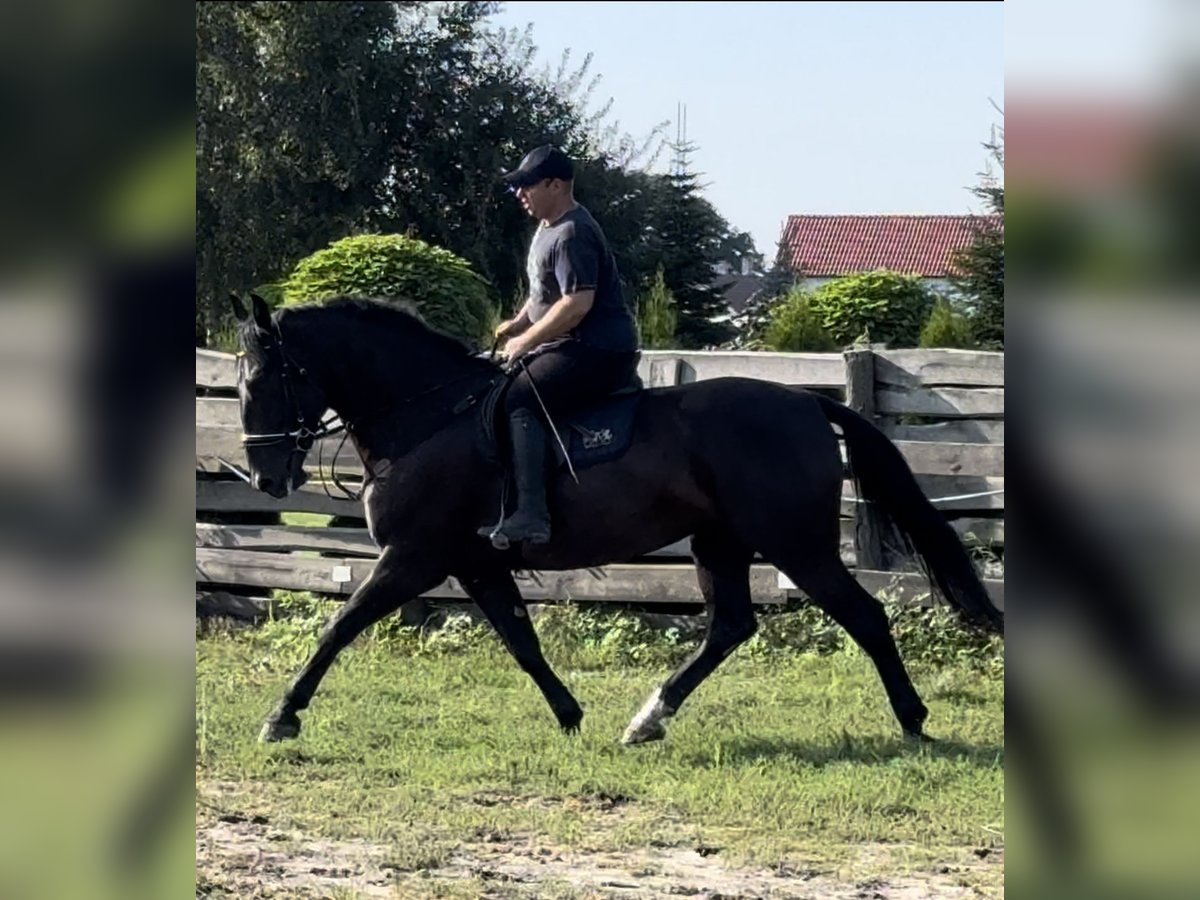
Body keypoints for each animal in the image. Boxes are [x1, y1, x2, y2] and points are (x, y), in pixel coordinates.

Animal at [226, 294, 1003, 748]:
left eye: (263, 379)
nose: (267, 478)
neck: (427, 417)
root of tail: (809, 402)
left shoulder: (414, 557)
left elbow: (339, 625)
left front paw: (282, 715)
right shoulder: (474, 562)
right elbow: (522, 641)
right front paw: (570, 716)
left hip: (798, 545)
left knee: (864, 617)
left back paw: (913, 722)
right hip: (719, 542)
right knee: (730, 627)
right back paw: (649, 718)